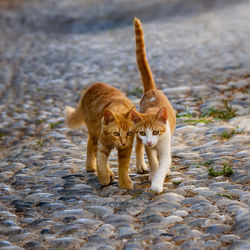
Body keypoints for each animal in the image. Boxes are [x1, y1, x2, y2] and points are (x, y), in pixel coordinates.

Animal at [131, 18, 176, 193]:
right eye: (144, 132)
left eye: (156, 132)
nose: (150, 141)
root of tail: (151, 90)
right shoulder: (145, 143)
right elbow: (153, 161)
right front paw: (153, 174)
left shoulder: (165, 144)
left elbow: (163, 162)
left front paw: (157, 182)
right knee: (138, 147)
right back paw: (141, 165)